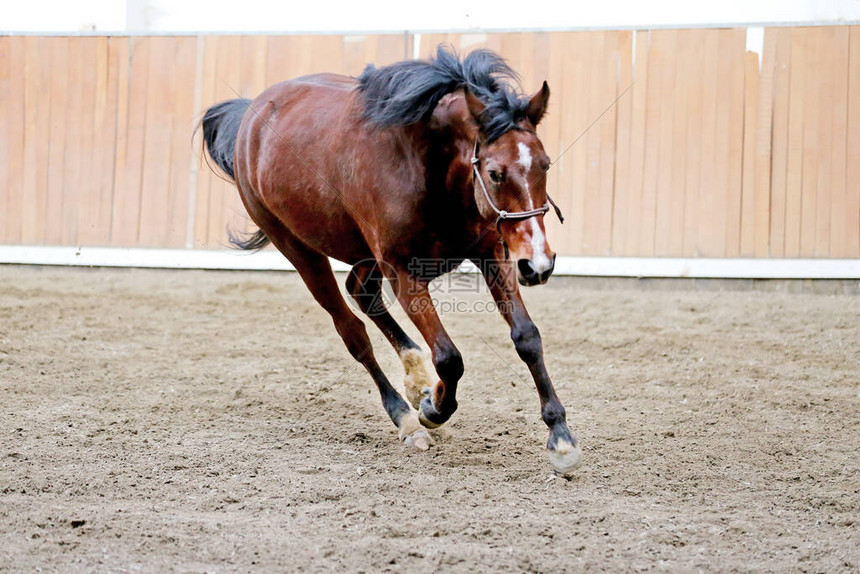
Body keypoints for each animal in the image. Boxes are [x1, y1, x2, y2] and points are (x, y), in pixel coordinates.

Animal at [202, 47, 580, 474]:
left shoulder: (492, 256)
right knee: (353, 332)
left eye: (545, 164)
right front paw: (433, 408)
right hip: (300, 250)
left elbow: (526, 337)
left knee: (362, 293)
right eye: (496, 173)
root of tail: (249, 118)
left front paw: (560, 435)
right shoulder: (403, 273)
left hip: (364, 253)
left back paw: (415, 380)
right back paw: (406, 417)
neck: (427, 167)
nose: (539, 264)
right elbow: (449, 357)